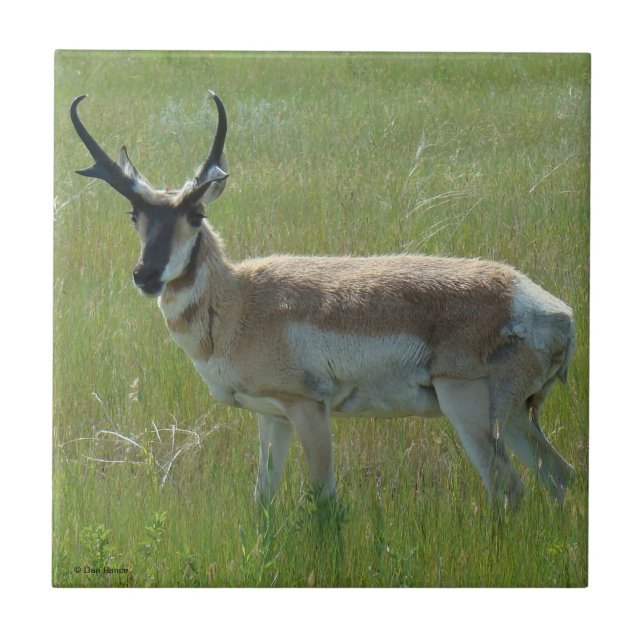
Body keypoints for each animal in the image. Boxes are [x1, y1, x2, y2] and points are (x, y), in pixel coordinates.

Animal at [70, 91, 576, 511]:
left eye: (196, 214)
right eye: (134, 214)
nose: (145, 275)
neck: (240, 301)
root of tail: (554, 311)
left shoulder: (308, 409)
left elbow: (325, 501)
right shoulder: (271, 416)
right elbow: (263, 499)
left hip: (468, 407)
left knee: (508, 488)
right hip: (514, 416)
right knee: (559, 475)